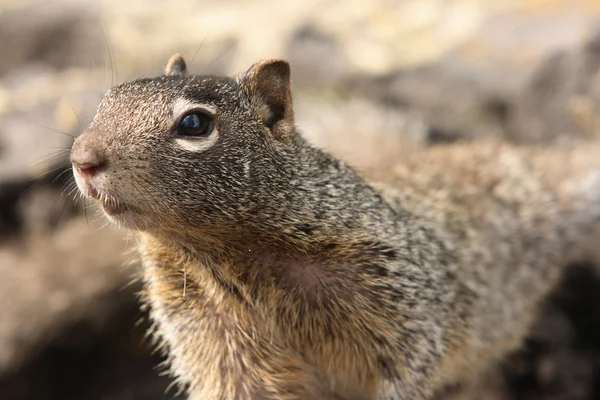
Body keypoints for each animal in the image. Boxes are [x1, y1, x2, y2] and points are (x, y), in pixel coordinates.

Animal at [69, 54, 600, 400]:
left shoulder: (397, 301)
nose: (81, 158)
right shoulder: (213, 343)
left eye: (195, 124)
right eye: (107, 100)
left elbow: (406, 369)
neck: (218, 257)